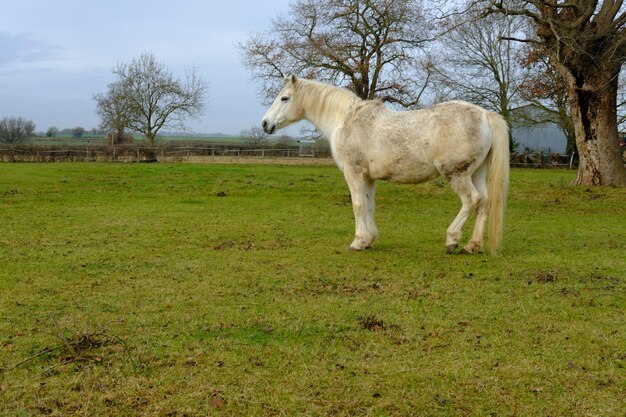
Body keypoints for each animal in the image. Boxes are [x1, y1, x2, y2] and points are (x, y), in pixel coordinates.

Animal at [260, 76, 508, 255]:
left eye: (284, 98)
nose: (265, 123)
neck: (346, 120)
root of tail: (485, 114)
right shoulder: (368, 178)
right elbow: (369, 206)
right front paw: (369, 240)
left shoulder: (353, 173)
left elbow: (358, 205)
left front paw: (358, 242)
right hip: (476, 173)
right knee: (484, 203)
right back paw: (472, 246)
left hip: (456, 174)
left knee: (471, 200)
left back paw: (452, 240)